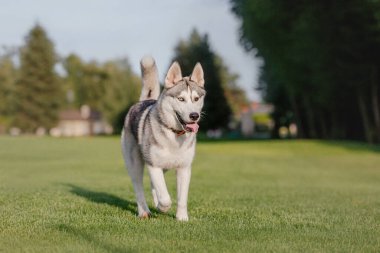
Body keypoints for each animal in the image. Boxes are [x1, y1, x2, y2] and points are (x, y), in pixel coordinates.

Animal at [121, 56, 205, 220]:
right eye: (181, 99)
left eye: (196, 98)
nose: (194, 115)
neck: (174, 135)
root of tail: (143, 101)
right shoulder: (153, 165)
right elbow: (165, 197)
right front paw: (163, 207)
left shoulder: (184, 168)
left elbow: (182, 198)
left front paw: (182, 218)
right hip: (135, 164)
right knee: (139, 188)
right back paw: (144, 211)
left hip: (165, 167)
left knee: (153, 185)